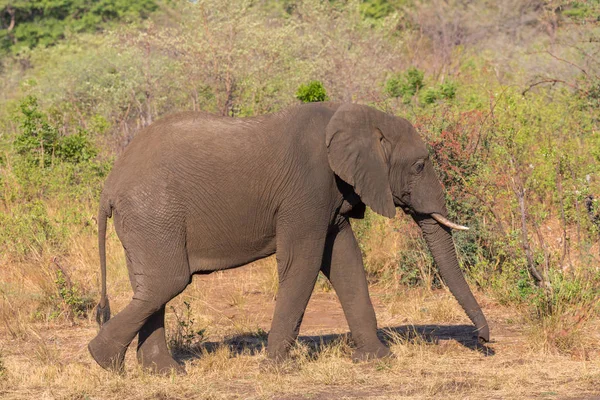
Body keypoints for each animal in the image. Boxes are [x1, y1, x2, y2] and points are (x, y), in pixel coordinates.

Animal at [89, 101, 490, 374]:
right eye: (420, 165)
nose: (485, 341)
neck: (356, 115)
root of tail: (110, 183)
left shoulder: (332, 197)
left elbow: (345, 261)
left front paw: (378, 359)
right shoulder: (308, 189)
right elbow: (304, 262)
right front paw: (279, 368)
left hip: (146, 222)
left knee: (152, 287)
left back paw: (164, 373)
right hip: (153, 213)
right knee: (168, 282)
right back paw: (104, 361)